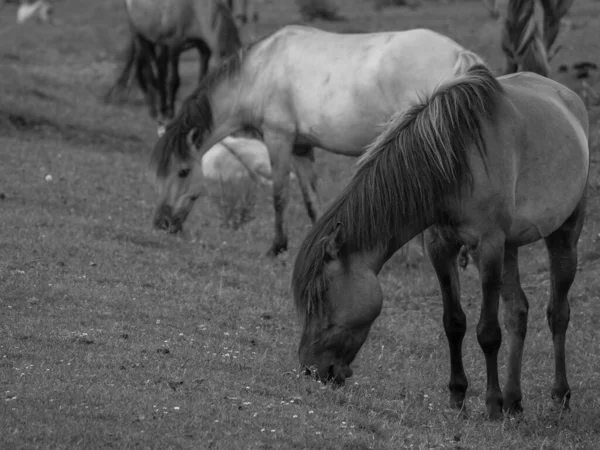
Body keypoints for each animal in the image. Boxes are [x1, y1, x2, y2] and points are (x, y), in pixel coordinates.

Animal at [105, 0, 241, 135]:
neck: (195, 10)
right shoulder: (175, 45)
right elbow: (174, 81)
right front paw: (170, 114)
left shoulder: (203, 49)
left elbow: (201, 82)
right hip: (140, 35)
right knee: (147, 69)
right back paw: (155, 110)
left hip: (159, 41)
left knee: (160, 72)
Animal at [148, 25, 486, 256]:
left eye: (183, 171)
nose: (161, 224)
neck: (260, 70)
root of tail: (459, 55)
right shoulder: (301, 148)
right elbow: (312, 203)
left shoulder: (278, 139)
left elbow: (279, 196)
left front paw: (277, 246)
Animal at [292, 63, 588, 418]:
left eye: (322, 296)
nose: (309, 369)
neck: (455, 163)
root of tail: (569, 97)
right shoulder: (442, 247)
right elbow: (454, 323)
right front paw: (458, 396)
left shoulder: (487, 247)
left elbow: (488, 332)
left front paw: (491, 404)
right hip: (511, 248)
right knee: (517, 314)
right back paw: (514, 401)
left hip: (564, 235)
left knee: (558, 313)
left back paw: (559, 395)